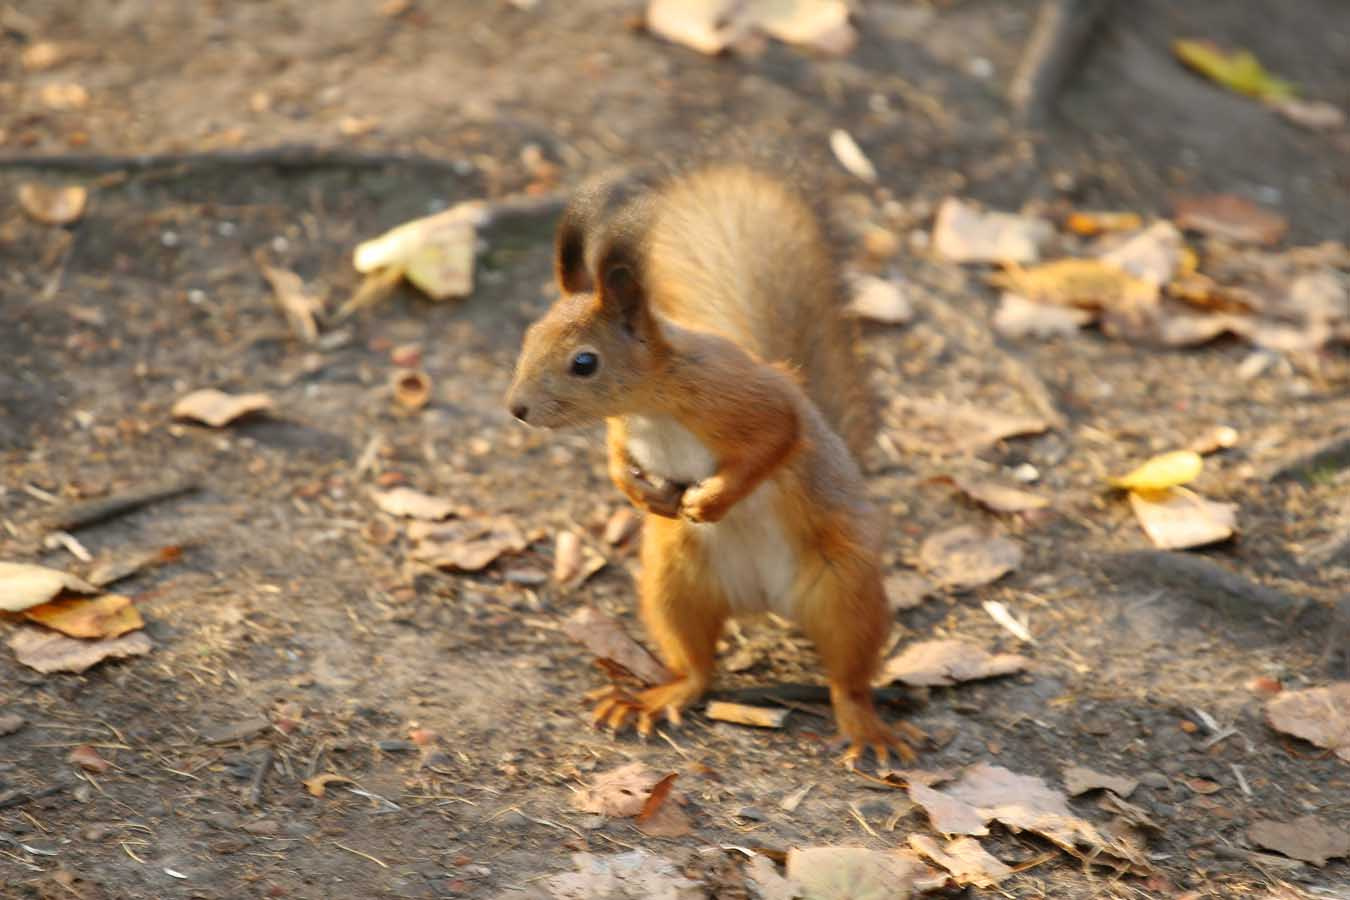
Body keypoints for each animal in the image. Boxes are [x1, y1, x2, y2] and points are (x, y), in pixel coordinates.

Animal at [506, 164, 922, 765]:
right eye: (529, 337)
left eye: (584, 363)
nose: (516, 408)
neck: (653, 404)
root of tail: (763, 602)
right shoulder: (623, 428)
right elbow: (615, 457)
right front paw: (639, 492)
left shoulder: (749, 400)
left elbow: (775, 441)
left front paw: (711, 500)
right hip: (674, 585)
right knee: (698, 669)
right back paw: (657, 697)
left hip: (846, 591)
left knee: (847, 679)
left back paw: (867, 726)